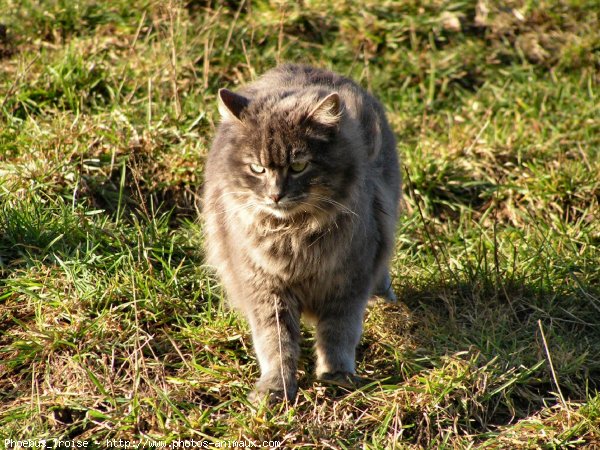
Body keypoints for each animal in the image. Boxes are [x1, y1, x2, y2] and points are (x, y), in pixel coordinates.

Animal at [203, 62, 404, 400]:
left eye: (299, 166)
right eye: (257, 168)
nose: (275, 195)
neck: (293, 234)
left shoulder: (349, 280)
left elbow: (338, 333)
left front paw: (336, 375)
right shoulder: (266, 288)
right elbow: (275, 343)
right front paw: (276, 386)